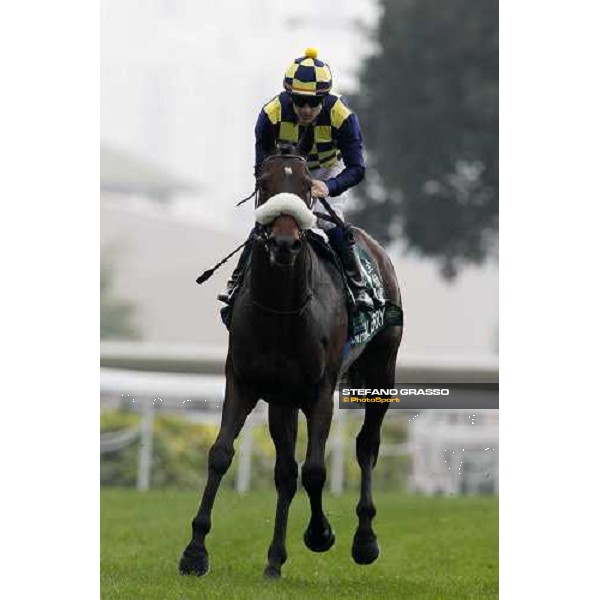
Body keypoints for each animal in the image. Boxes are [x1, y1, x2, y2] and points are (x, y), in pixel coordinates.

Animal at [178, 143, 404, 580]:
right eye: (264, 184)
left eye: (304, 185)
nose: (284, 243)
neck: (283, 310)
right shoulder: (246, 381)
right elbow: (221, 455)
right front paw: (195, 552)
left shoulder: (321, 390)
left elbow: (315, 470)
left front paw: (321, 534)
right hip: (282, 400)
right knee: (285, 472)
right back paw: (274, 560)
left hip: (381, 371)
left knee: (366, 445)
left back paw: (364, 540)